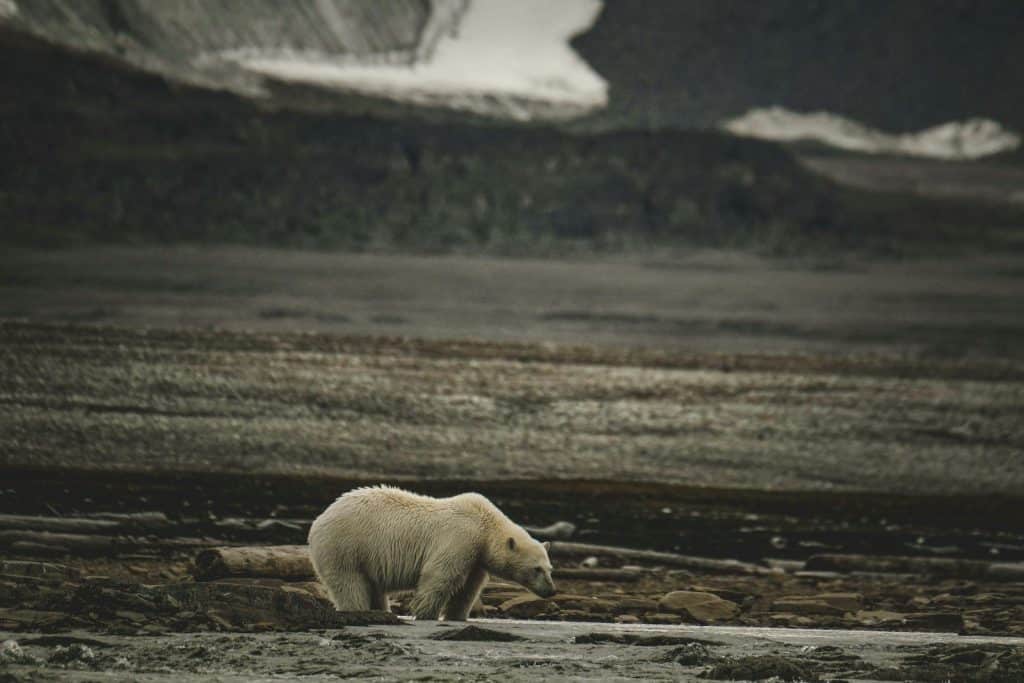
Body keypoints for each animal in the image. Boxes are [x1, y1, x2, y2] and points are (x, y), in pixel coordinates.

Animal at [307, 485, 556, 621]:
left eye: (550, 569)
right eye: (537, 569)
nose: (551, 590)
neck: (485, 525)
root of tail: (320, 519)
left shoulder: (477, 558)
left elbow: (468, 588)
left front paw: (457, 615)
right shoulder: (460, 538)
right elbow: (439, 575)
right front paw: (426, 613)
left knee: (373, 587)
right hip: (345, 546)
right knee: (349, 583)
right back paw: (359, 610)